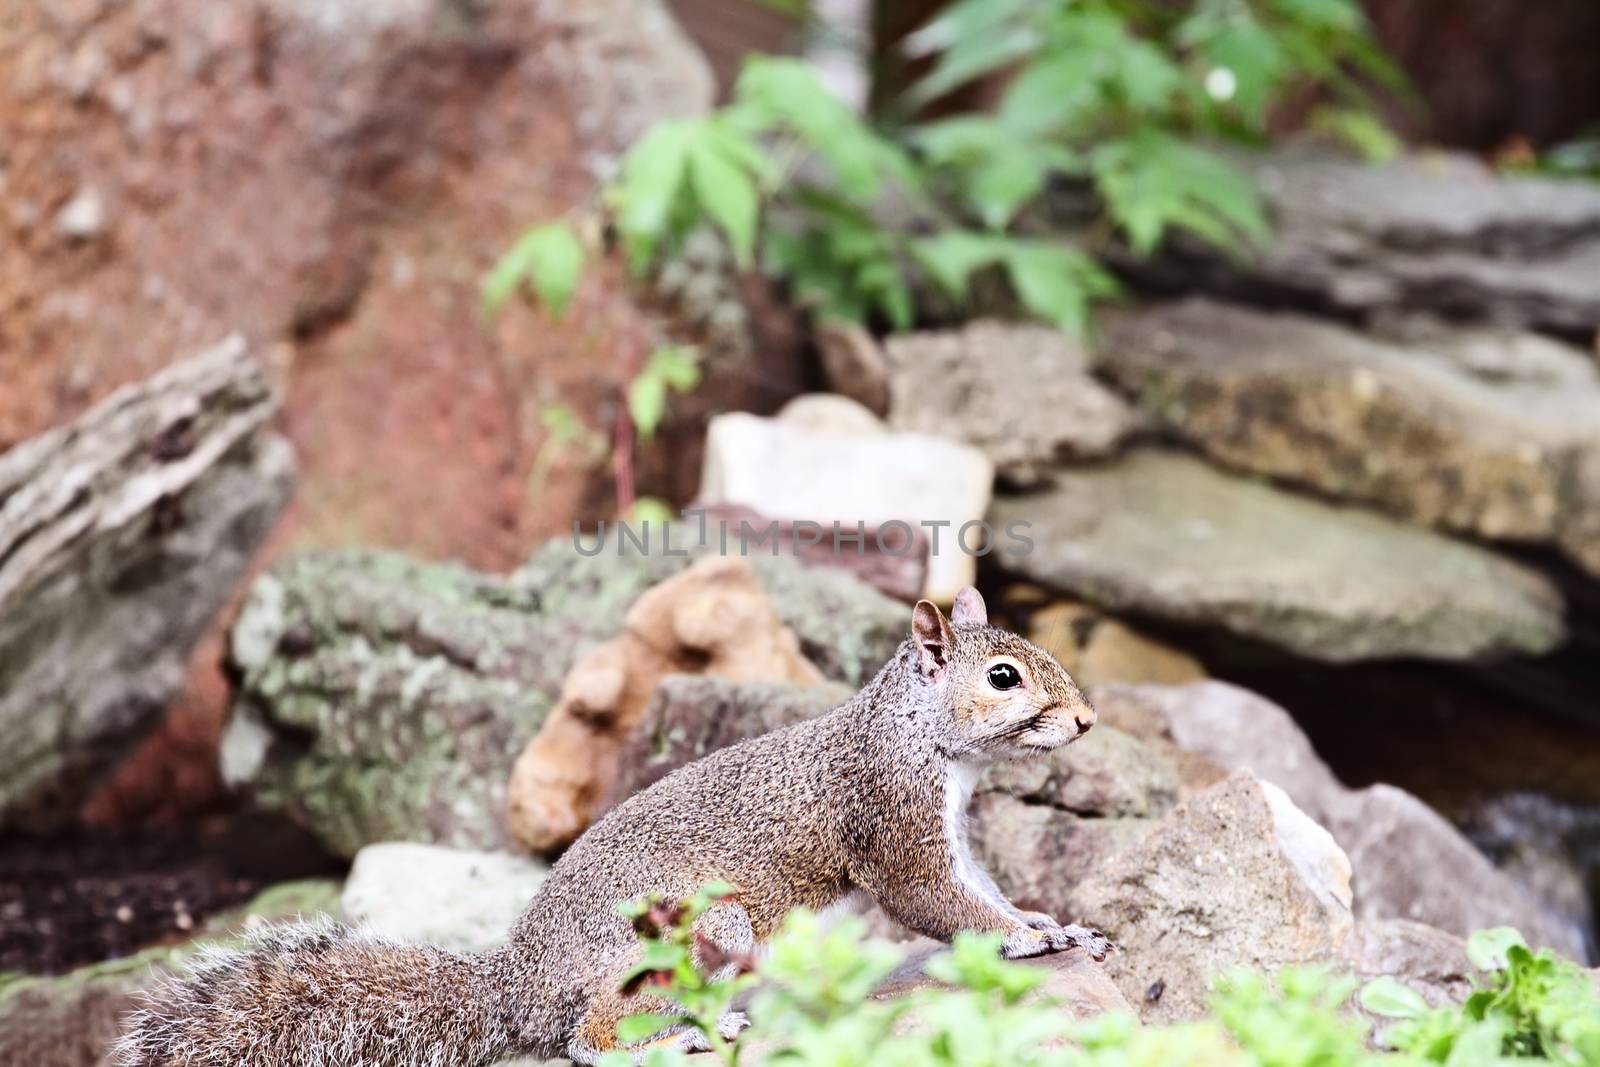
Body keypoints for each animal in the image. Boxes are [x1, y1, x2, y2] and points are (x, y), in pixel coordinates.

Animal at [118, 588, 1107, 1062]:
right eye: (1005, 677)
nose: (1088, 720)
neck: (920, 736)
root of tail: (518, 984)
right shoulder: (891, 822)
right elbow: (938, 902)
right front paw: (1027, 939)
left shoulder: (951, 830)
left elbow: (981, 888)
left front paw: (1051, 921)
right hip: (696, 929)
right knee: (582, 1039)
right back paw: (669, 1040)